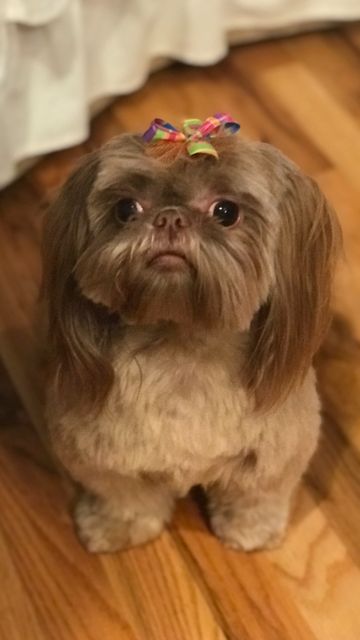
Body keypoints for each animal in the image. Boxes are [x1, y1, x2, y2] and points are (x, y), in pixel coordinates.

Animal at [42, 114, 340, 552]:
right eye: (125, 208)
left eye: (226, 211)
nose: (169, 217)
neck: (181, 348)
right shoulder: (100, 453)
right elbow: (124, 496)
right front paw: (117, 527)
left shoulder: (277, 451)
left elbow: (256, 495)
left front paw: (250, 532)